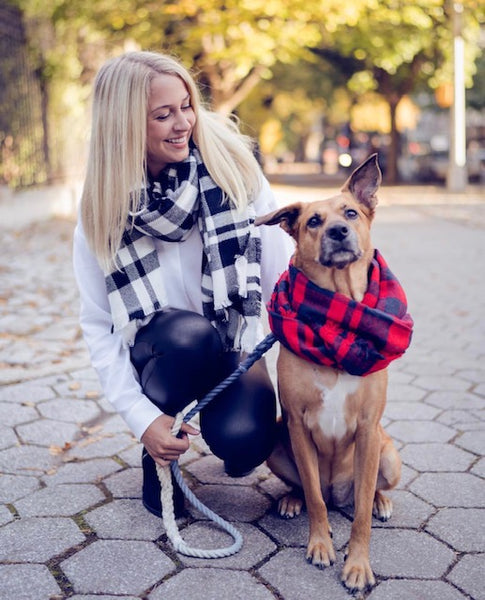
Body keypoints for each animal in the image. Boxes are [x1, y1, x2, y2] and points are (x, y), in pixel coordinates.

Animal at [258, 154, 400, 592]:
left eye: (350, 213)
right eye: (313, 221)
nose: (338, 231)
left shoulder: (369, 429)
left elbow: (361, 516)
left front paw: (357, 564)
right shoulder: (297, 425)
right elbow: (316, 502)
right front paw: (320, 544)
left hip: (388, 454)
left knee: (368, 493)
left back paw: (381, 501)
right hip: (275, 444)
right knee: (312, 491)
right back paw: (292, 500)